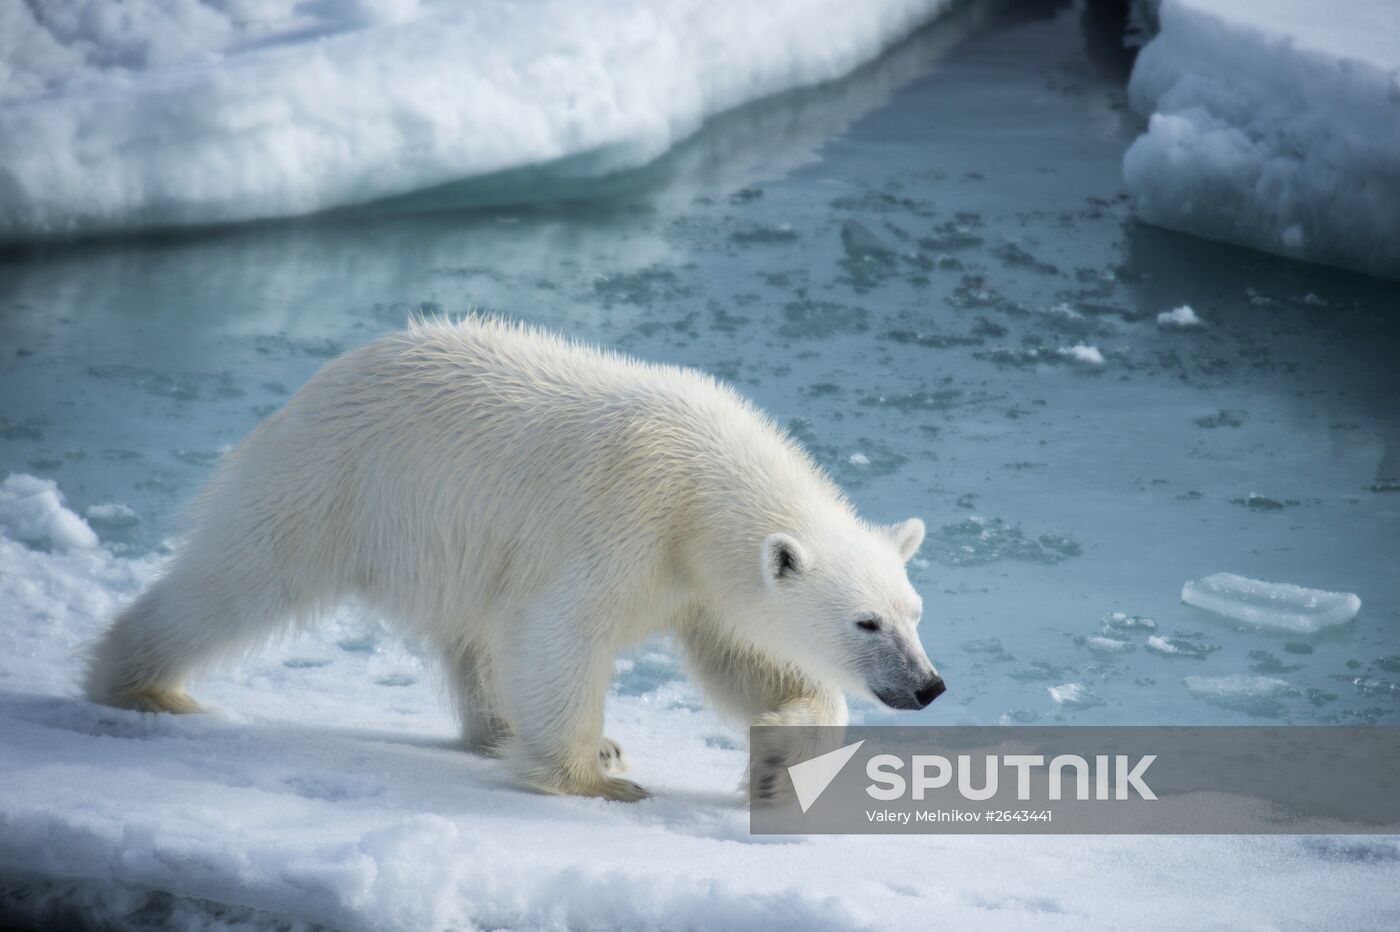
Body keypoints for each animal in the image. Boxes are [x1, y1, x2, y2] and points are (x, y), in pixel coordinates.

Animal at [84, 316, 940, 794]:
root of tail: (310, 388)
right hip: (334, 485)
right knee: (235, 581)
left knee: (476, 636)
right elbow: (561, 630)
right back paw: (138, 683)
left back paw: (500, 728)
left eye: (915, 612)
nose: (927, 686)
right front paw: (592, 780)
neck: (701, 479)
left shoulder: (697, 580)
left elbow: (748, 663)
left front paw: (770, 763)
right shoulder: (624, 517)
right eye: (866, 624)